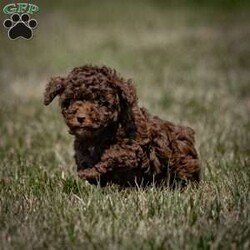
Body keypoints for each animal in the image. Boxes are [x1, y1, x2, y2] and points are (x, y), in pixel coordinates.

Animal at [44, 65, 200, 187]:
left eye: (100, 102)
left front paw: (90, 172)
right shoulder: (82, 143)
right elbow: (83, 156)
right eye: (69, 101)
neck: (103, 131)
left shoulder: (132, 147)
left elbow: (112, 154)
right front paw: (89, 171)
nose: (81, 118)